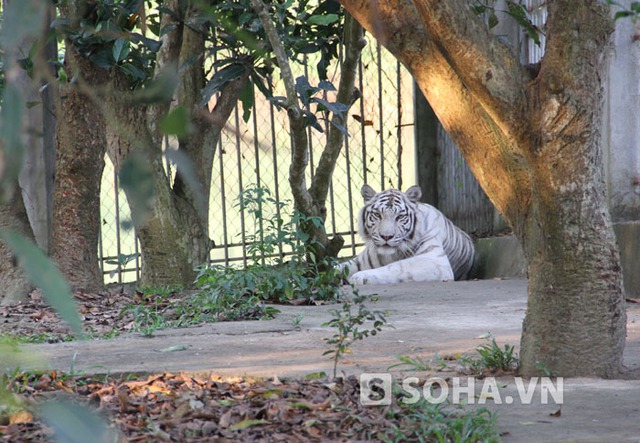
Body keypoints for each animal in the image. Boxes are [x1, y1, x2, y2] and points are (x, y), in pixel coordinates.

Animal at [336, 184, 476, 284]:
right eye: (377, 215)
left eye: (400, 217)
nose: (386, 236)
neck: (390, 255)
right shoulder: (360, 261)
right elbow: (337, 267)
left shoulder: (435, 261)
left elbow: (397, 266)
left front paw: (360, 277)